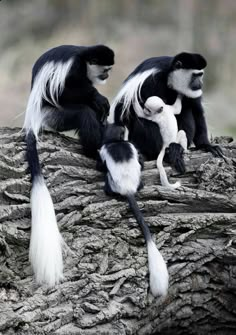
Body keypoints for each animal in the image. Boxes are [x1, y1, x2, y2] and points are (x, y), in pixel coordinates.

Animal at [24, 44, 115, 286]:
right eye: (105, 68)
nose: (107, 76)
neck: (84, 58)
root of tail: (35, 118)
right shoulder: (72, 70)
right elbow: (63, 92)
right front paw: (99, 97)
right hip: (55, 116)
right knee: (83, 111)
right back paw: (95, 150)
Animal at [98, 124, 169, 298]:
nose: (125, 126)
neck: (115, 141)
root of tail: (128, 188)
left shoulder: (105, 151)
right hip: (137, 181)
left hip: (112, 182)